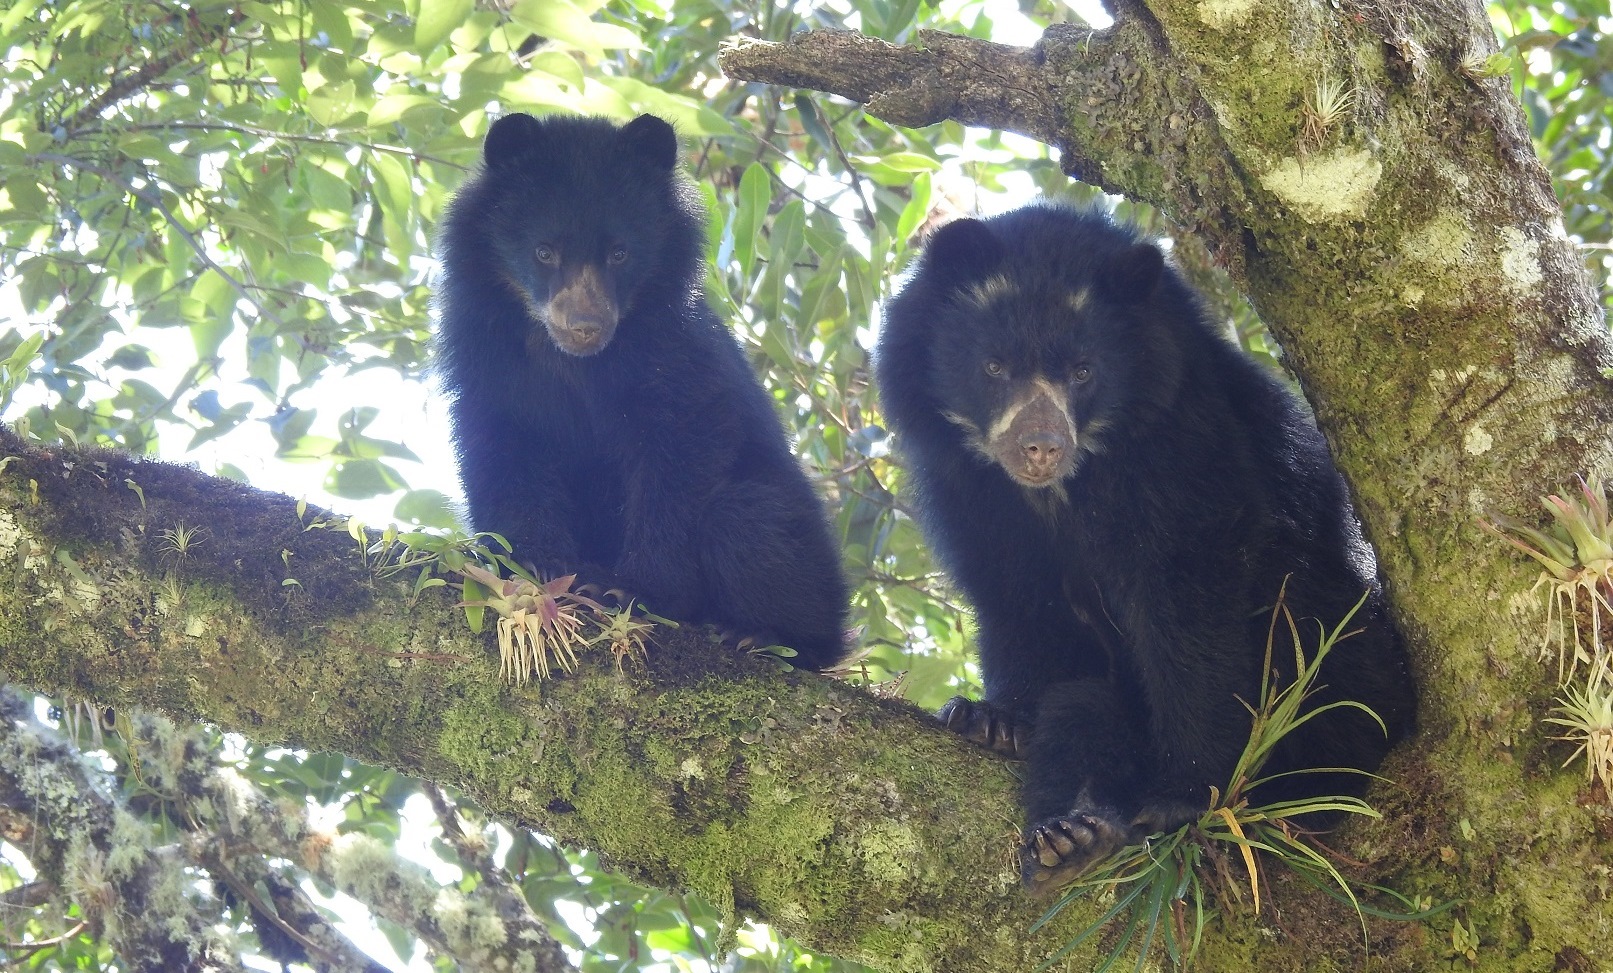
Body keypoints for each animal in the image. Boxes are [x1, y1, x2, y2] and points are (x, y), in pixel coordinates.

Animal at [434, 112, 848, 671]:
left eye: (620, 253)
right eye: (544, 252)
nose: (585, 327)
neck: (573, 364)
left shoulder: (674, 354)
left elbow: (677, 455)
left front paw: (633, 591)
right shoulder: (486, 361)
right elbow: (502, 450)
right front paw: (534, 570)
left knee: (745, 518)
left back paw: (759, 635)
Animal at [874, 202, 1416, 891]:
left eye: (1083, 371)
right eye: (995, 367)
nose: (1040, 447)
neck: (1062, 492)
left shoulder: (1183, 448)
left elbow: (1188, 600)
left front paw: (1184, 796)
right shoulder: (971, 489)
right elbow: (1017, 598)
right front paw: (994, 720)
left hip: (1345, 648)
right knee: (1085, 705)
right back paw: (1069, 837)